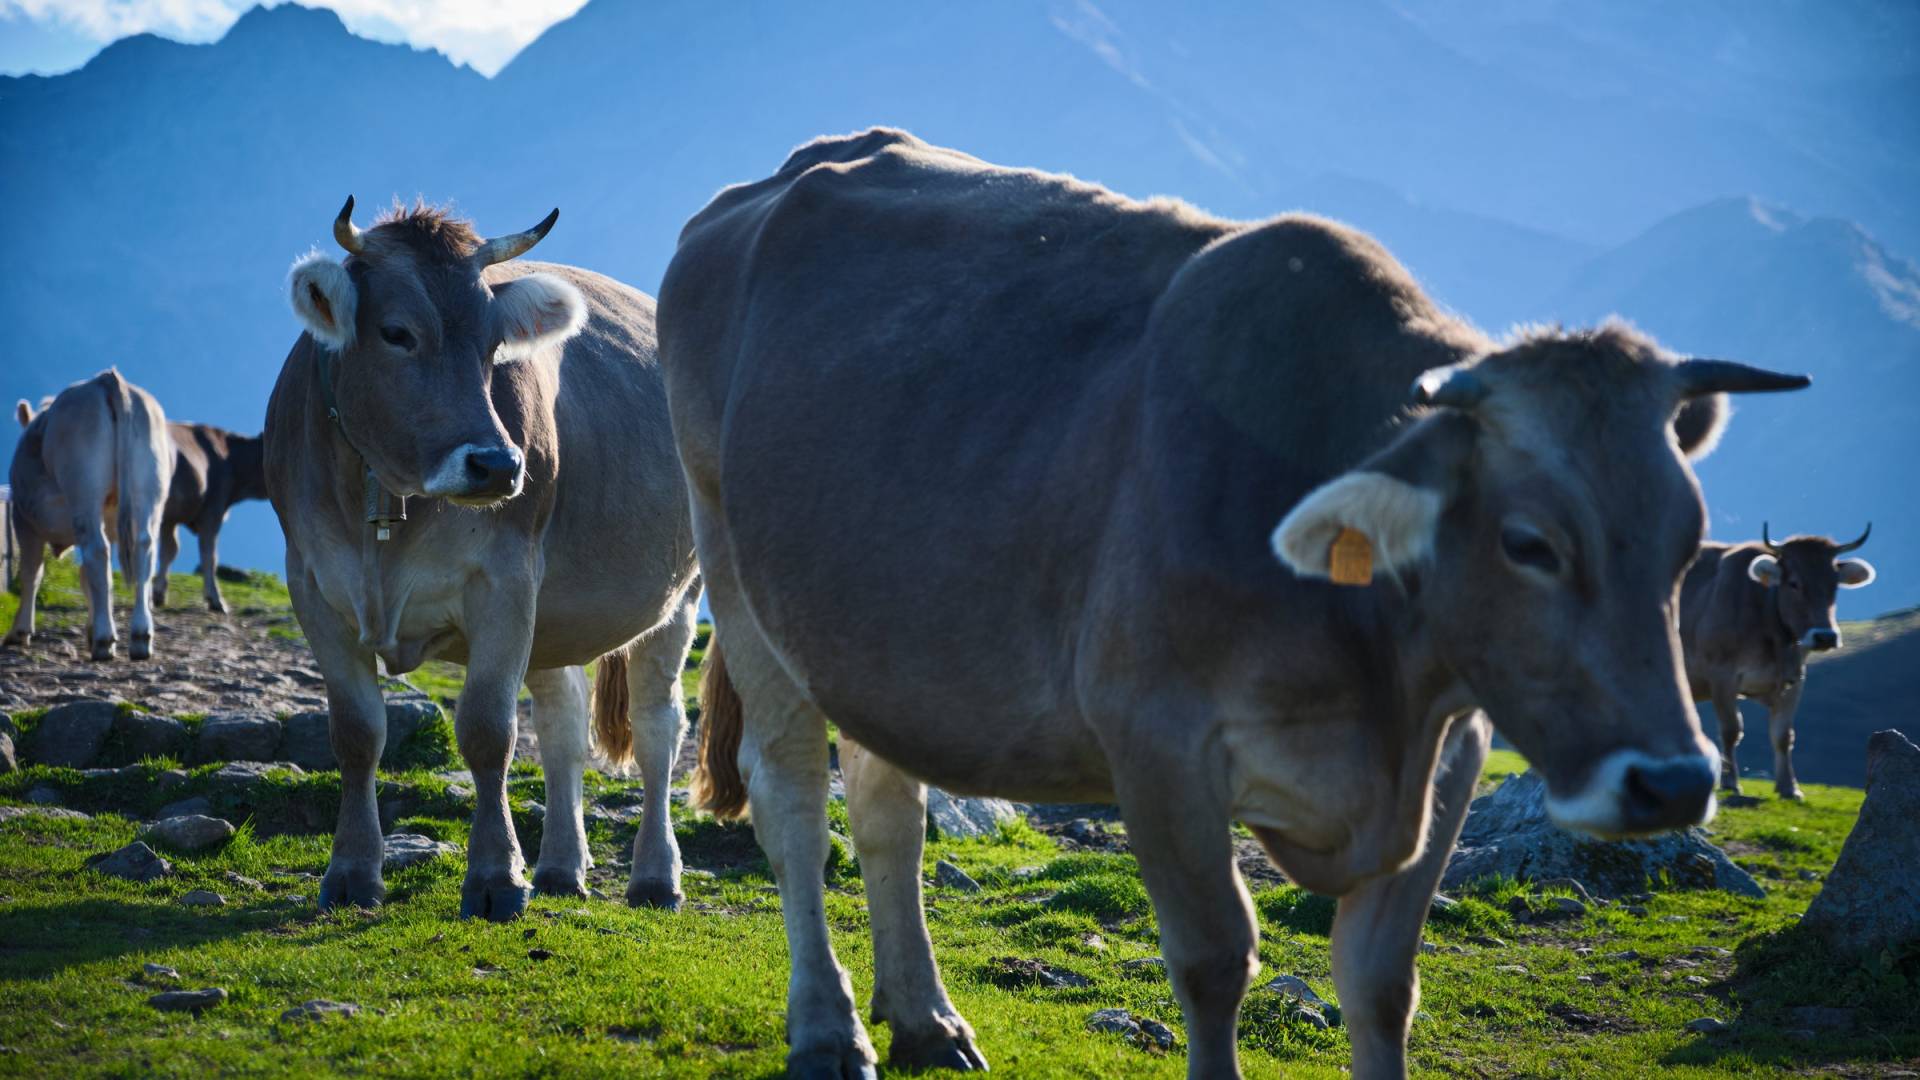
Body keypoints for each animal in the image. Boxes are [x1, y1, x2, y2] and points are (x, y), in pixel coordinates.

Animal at [7, 370, 172, 660]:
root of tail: (105, 379)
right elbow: (89, 579)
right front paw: (91, 629)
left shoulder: (23, 519)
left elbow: (31, 573)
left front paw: (20, 631)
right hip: (149, 491)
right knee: (143, 549)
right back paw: (140, 638)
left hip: (84, 489)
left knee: (97, 551)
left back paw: (105, 641)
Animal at [154, 422, 270, 613]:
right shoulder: (212, 512)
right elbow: (209, 556)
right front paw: (216, 600)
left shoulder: (169, 519)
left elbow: (169, 550)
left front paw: (159, 594)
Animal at [267, 198, 699, 920]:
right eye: (396, 333)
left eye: (496, 345)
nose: (497, 465)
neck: (390, 497)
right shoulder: (312, 583)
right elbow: (356, 733)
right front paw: (352, 872)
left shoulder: (505, 580)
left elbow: (487, 731)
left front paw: (496, 877)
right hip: (556, 616)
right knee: (562, 722)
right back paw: (560, 867)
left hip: (681, 590)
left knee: (657, 728)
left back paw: (655, 876)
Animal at [658, 129, 1812, 1080]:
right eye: (1528, 542)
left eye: (1684, 542)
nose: (1672, 783)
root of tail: (772, 183)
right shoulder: (1156, 740)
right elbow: (1216, 962)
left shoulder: (1456, 751)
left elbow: (1381, 985)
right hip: (736, 574)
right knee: (794, 801)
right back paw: (830, 1031)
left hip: (869, 636)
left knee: (888, 809)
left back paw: (927, 1022)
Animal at [1681, 523, 1875, 799]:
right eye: (1794, 584)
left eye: (1834, 585)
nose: (1825, 636)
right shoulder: (1721, 675)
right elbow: (1731, 730)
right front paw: (1730, 782)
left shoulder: (1795, 679)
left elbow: (1783, 735)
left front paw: (1789, 787)